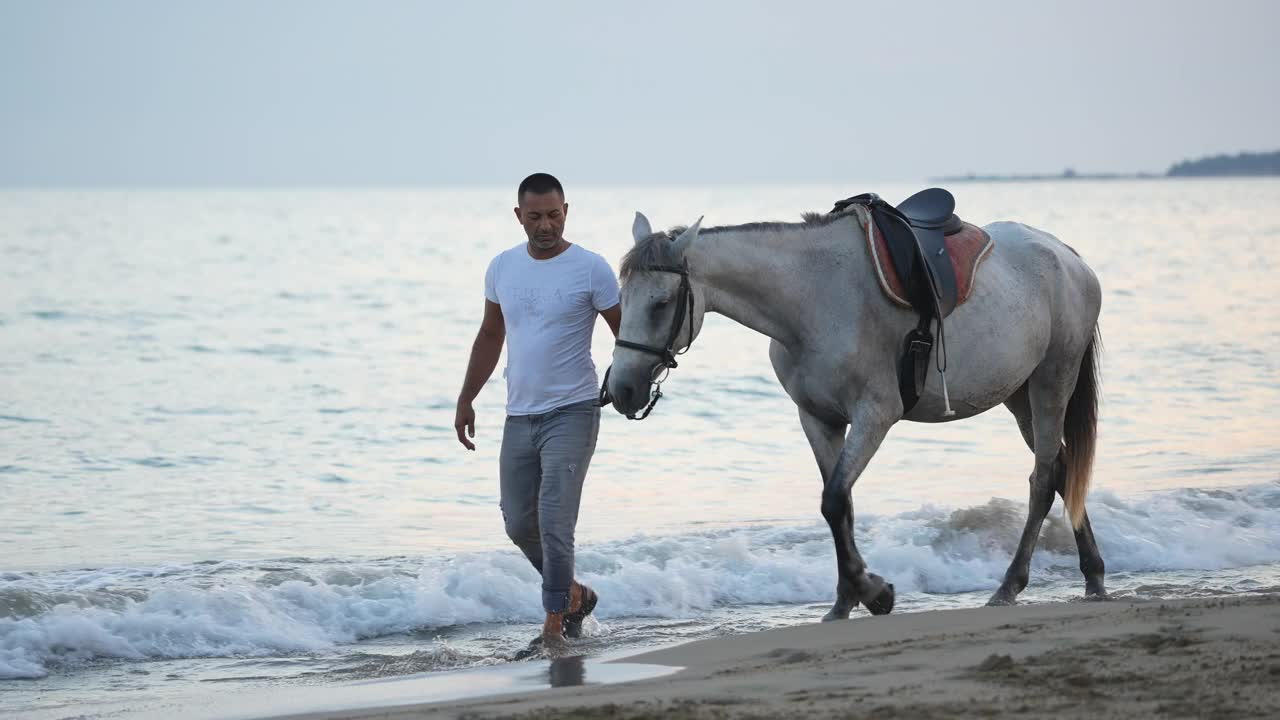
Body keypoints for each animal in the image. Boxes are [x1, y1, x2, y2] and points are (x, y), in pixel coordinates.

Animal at [606, 204, 1100, 620]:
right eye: (621, 300)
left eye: (661, 303)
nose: (623, 389)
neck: (811, 298)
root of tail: (1070, 258)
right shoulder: (818, 419)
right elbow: (839, 506)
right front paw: (849, 598)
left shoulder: (874, 416)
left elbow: (834, 499)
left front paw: (872, 592)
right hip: (1020, 395)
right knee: (1061, 469)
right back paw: (1093, 574)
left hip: (1053, 381)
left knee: (1042, 481)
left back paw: (1009, 586)